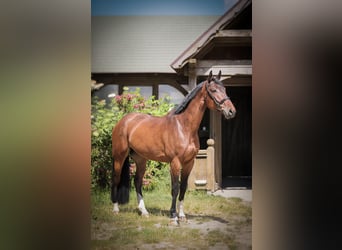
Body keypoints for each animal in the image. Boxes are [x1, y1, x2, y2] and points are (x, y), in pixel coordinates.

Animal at [111, 70, 236, 223]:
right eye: (213, 90)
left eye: (224, 89)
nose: (231, 111)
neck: (183, 127)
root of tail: (124, 121)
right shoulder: (175, 162)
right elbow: (175, 188)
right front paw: (173, 216)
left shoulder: (189, 163)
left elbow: (183, 187)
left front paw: (181, 215)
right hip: (119, 156)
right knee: (116, 178)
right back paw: (116, 209)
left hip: (141, 159)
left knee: (137, 182)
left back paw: (144, 211)